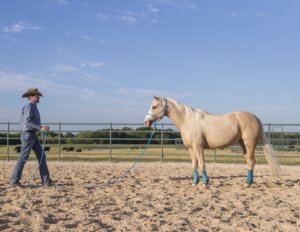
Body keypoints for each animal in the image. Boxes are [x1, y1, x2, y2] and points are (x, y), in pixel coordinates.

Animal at [145, 96, 282, 187]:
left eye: (154, 106)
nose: (146, 122)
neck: (188, 121)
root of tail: (255, 117)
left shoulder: (198, 147)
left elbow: (202, 164)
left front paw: (205, 183)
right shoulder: (191, 149)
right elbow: (194, 165)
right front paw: (194, 183)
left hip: (250, 144)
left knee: (252, 162)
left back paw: (248, 183)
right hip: (243, 145)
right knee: (249, 162)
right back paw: (248, 182)